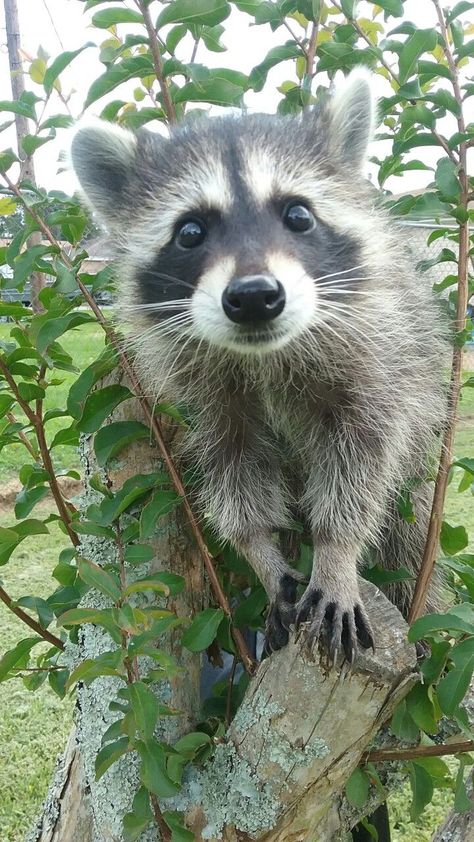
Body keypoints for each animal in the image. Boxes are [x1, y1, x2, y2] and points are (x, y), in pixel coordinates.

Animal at [69, 70, 444, 664]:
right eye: (190, 231)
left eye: (298, 215)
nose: (253, 297)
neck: (263, 354)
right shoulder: (211, 400)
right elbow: (232, 473)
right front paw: (260, 553)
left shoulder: (377, 363)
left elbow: (363, 460)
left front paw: (336, 551)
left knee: (404, 539)